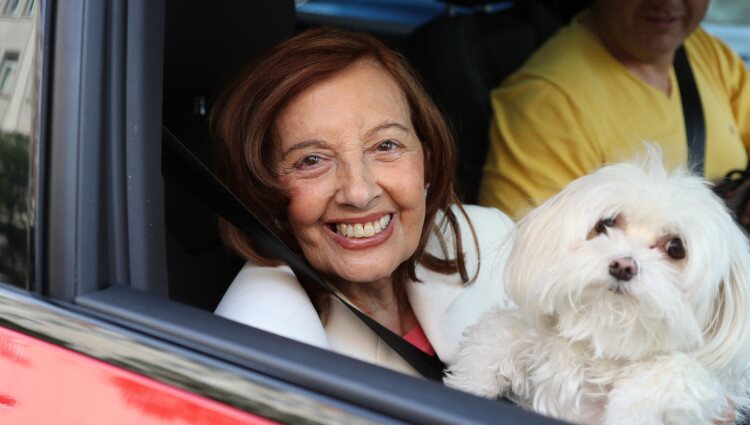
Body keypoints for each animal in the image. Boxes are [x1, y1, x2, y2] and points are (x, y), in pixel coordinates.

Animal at [450, 152, 750, 424]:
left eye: (676, 247)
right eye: (607, 223)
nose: (623, 266)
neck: (606, 339)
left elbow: (678, 370)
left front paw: (633, 407)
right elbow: (500, 331)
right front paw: (470, 382)